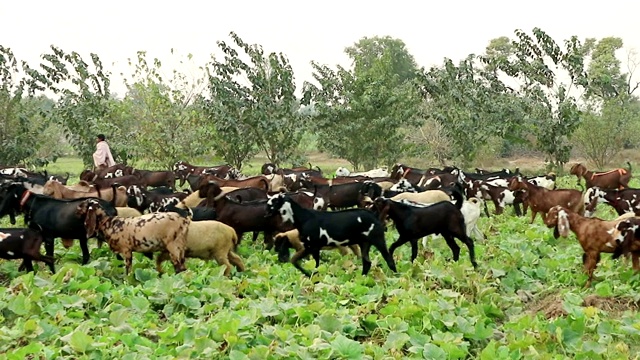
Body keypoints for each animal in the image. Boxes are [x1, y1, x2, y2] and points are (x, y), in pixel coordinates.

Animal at [264, 193, 396, 278]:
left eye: (272, 203)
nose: (265, 215)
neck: (305, 218)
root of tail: (374, 215)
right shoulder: (314, 248)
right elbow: (309, 264)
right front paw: (312, 276)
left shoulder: (310, 247)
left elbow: (299, 261)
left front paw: (309, 275)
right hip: (364, 243)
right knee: (367, 263)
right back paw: (362, 278)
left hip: (378, 239)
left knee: (389, 259)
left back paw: (395, 277)